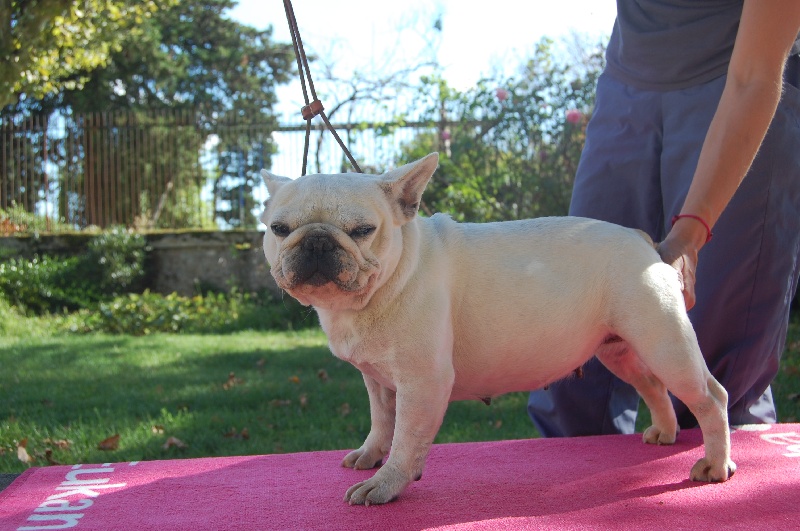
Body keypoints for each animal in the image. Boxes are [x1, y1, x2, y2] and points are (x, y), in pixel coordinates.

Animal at [259, 153, 735, 506]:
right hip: (621, 350)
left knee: (711, 397)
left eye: (362, 231)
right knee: (653, 385)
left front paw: (388, 482)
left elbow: (407, 436)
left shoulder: (423, 382)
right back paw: (666, 432)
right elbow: (382, 422)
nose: (317, 240)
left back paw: (715, 465)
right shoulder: (378, 381)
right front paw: (371, 455)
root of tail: (642, 240)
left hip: (665, 341)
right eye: (278, 229)